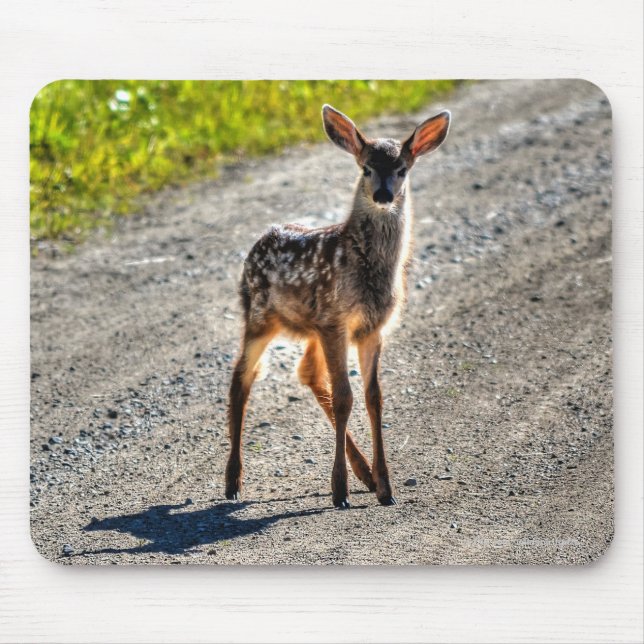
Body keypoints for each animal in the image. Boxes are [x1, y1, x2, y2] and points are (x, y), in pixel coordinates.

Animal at [224, 104, 451, 509]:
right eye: (366, 168)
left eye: (402, 169)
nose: (382, 194)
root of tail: (260, 239)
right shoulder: (336, 321)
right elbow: (345, 397)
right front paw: (340, 491)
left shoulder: (370, 328)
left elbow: (373, 398)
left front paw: (386, 488)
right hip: (260, 316)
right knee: (242, 377)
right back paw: (233, 482)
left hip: (311, 329)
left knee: (307, 374)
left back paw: (366, 476)